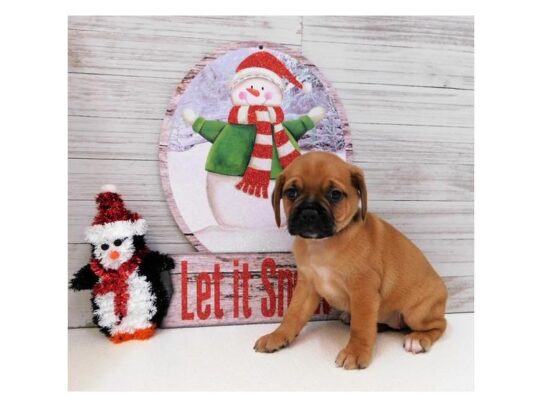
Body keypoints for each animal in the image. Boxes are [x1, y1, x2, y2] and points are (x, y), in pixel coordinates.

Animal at [255, 152, 450, 370]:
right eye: (291, 192)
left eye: (335, 195)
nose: (309, 213)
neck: (322, 244)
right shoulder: (307, 287)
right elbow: (293, 314)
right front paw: (277, 335)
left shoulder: (363, 290)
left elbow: (361, 326)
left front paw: (356, 352)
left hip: (417, 313)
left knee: (440, 325)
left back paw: (417, 339)